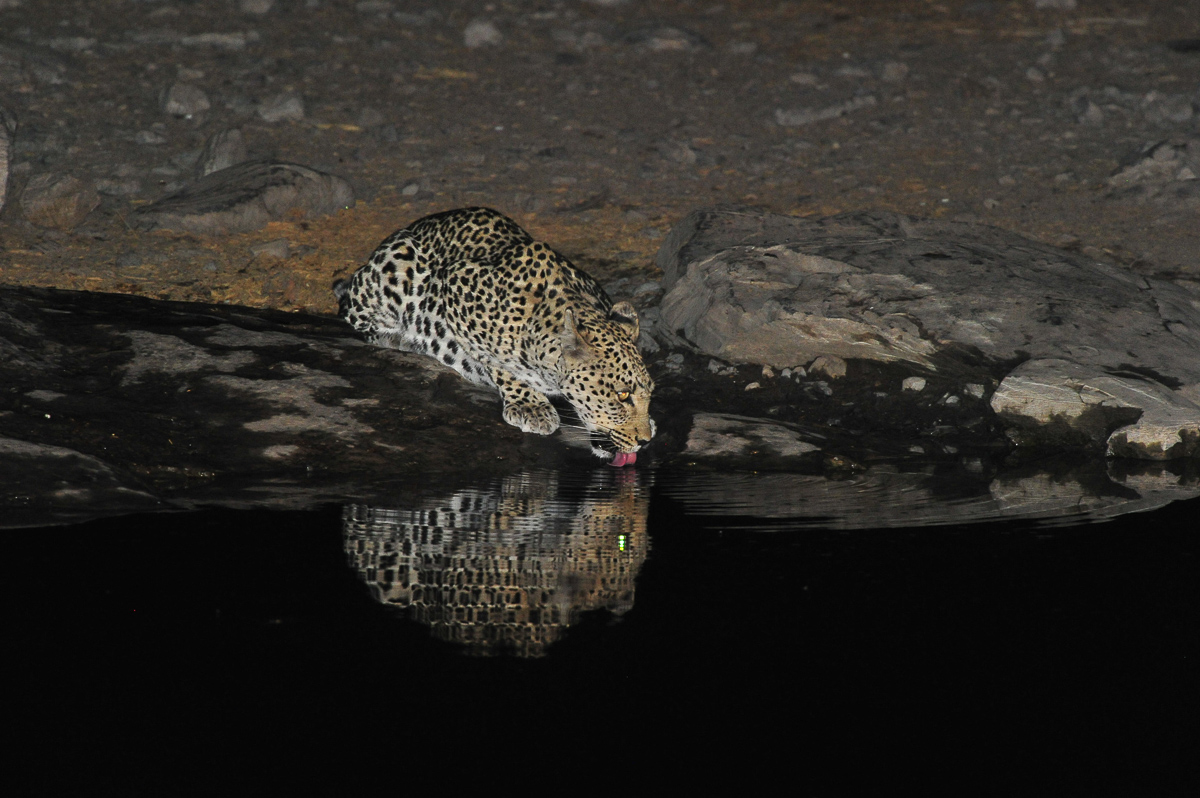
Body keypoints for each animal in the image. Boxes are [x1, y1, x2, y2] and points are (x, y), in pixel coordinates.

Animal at [334, 207, 655, 466]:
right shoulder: (454, 284)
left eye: (649, 394)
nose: (645, 442)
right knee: (351, 310)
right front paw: (530, 405)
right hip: (393, 269)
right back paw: (399, 338)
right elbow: (496, 361)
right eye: (622, 395)